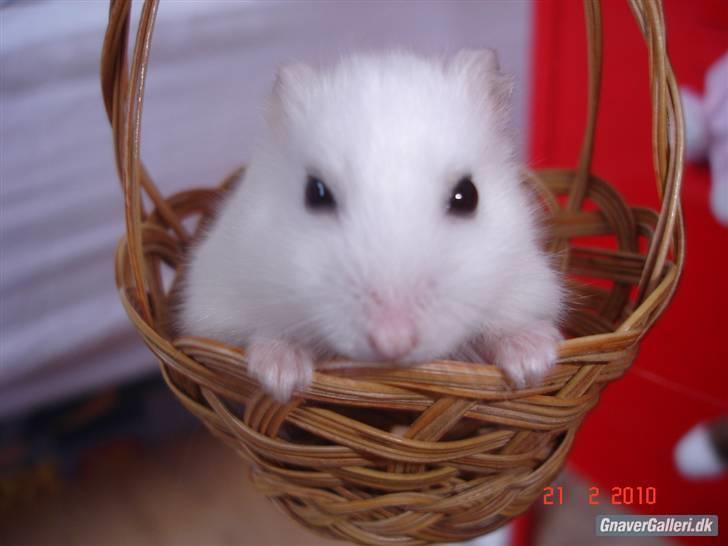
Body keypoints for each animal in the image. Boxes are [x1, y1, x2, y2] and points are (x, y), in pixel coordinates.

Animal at [179, 50, 564, 402]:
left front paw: (532, 365)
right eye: (315, 193)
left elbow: (507, 324)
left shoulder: (527, 286)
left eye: (467, 196)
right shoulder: (218, 303)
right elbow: (262, 333)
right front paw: (283, 380)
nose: (393, 342)